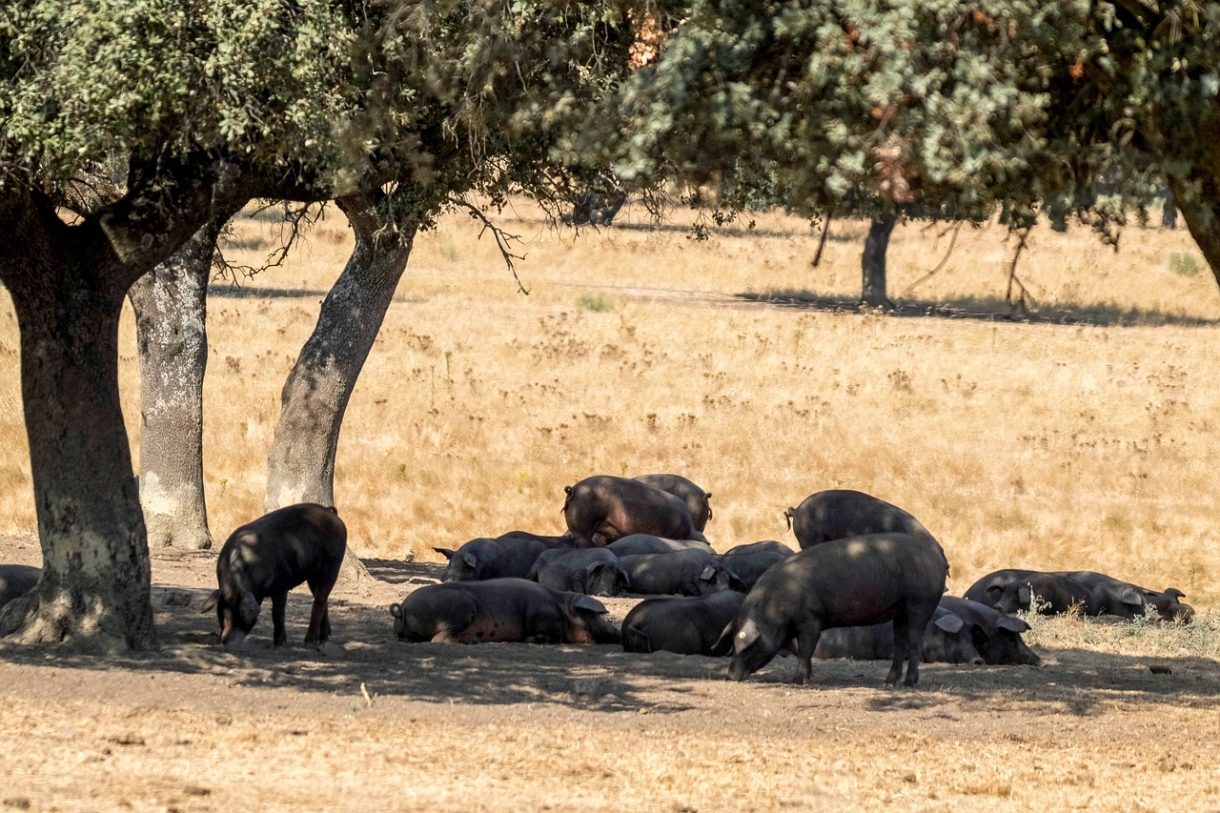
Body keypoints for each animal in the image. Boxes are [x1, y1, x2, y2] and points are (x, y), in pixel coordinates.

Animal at [200, 500, 344, 644]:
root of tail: (331, 514)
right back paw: (323, 639)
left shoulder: (281, 584)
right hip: (312, 574)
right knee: (322, 598)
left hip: (333, 564)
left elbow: (277, 613)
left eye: (240, 615)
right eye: (222, 615)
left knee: (319, 600)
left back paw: (309, 642)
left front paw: (280, 644)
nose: (224, 641)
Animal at [387, 576, 619, 644]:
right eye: (592, 615)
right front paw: (533, 639)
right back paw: (472, 641)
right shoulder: (543, 614)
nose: (616, 632)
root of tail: (403, 608)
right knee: (439, 639)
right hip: (459, 608)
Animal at [717, 532, 946, 683]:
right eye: (733, 645)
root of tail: (937, 557)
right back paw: (889, 682)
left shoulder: (811, 619)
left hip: (920, 603)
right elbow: (802, 649)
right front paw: (809, 677)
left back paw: (909, 683)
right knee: (900, 643)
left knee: (914, 642)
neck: (775, 608)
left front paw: (798, 680)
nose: (730, 676)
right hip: (899, 610)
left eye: (751, 646)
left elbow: (806, 648)